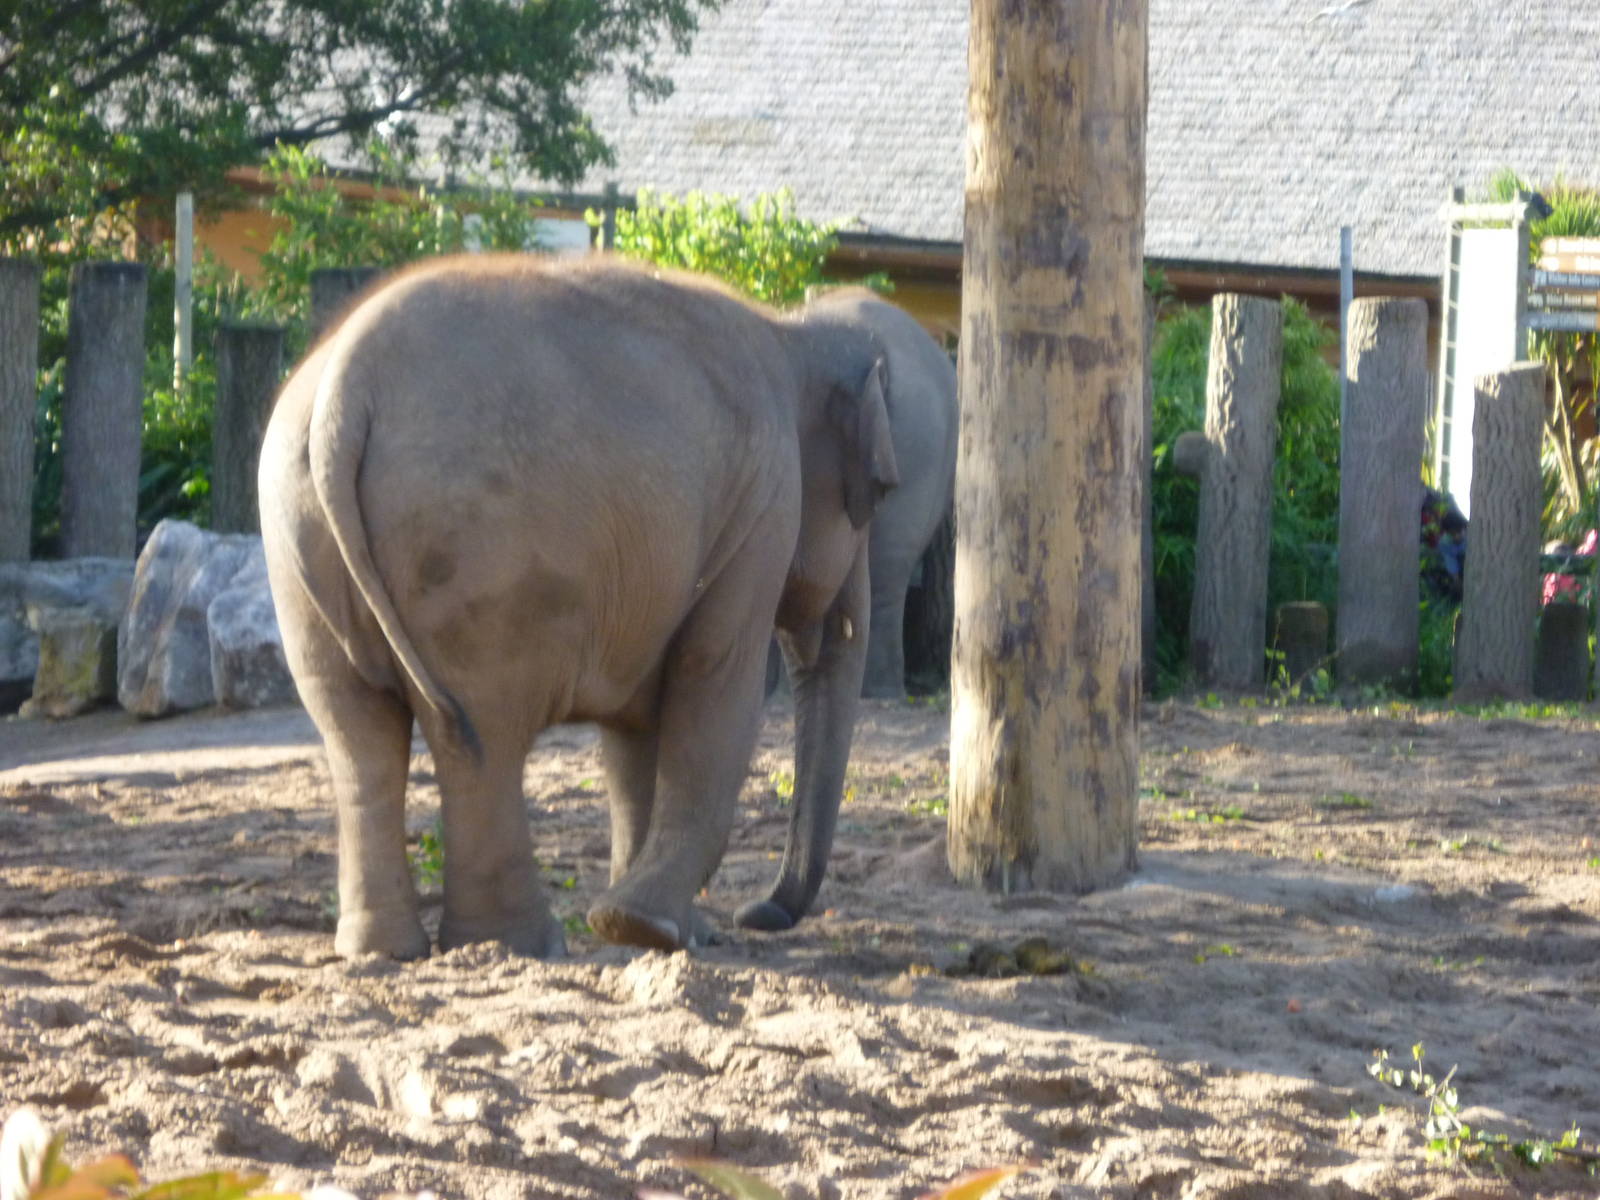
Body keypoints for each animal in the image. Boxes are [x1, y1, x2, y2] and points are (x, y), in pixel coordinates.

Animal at [258, 254, 899, 959]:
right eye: (881, 492)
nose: (757, 913)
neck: (790, 334)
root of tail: (344, 391)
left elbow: (638, 728)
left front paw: (658, 932)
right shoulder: (765, 503)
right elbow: (715, 685)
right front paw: (642, 927)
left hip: (298, 546)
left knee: (358, 734)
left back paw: (384, 950)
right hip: (477, 556)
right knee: (481, 734)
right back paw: (521, 944)